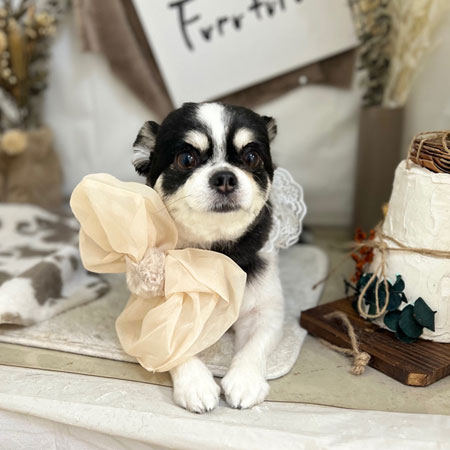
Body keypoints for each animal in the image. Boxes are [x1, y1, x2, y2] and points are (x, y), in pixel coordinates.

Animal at [132, 102, 284, 413]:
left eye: (252, 157)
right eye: (186, 159)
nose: (225, 177)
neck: (212, 251)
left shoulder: (266, 313)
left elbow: (255, 346)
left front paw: (245, 380)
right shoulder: (150, 317)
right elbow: (172, 344)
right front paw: (195, 384)